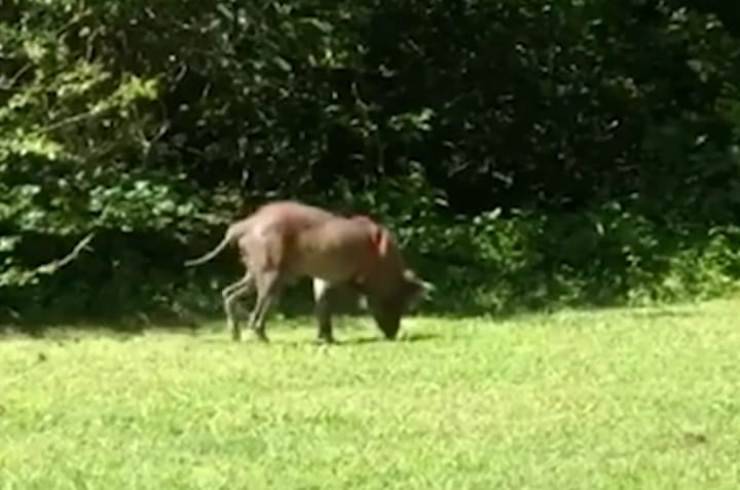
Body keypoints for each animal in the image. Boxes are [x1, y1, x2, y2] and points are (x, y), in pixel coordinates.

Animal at [184, 201, 434, 342]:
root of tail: (243, 225)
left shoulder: (324, 277)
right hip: (271, 274)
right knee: (257, 313)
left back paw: (234, 333)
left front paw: (326, 337)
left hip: (256, 272)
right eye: (398, 305)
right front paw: (327, 336)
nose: (393, 335)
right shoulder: (340, 278)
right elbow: (328, 307)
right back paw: (260, 336)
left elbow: (322, 307)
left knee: (228, 293)